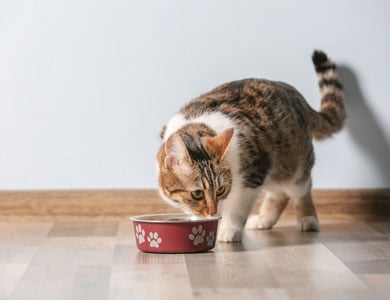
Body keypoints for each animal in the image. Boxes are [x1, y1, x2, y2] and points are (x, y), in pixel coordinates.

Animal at [155, 50, 344, 243]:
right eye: (197, 193)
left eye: (220, 190)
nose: (213, 211)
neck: (198, 124)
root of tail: (302, 101)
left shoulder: (252, 176)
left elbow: (237, 209)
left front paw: (228, 230)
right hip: (274, 167)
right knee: (279, 193)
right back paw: (263, 219)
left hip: (293, 164)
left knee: (300, 189)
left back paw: (308, 219)